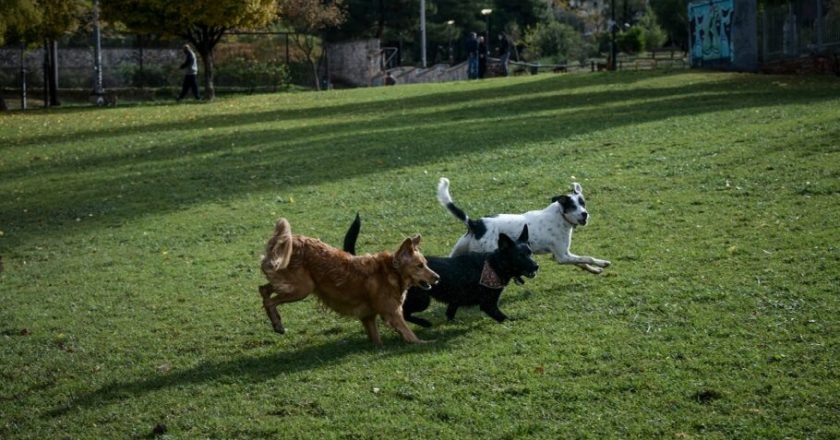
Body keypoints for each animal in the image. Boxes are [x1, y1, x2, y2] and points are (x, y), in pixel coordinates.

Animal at [260, 218, 440, 346]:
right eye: (419, 266)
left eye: (426, 263)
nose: (437, 277)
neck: (391, 272)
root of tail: (290, 240)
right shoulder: (392, 314)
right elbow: (410, 335)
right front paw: (426, 342)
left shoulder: (368, 317)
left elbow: (377, 340)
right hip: (303, 288)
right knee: (269, 301)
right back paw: (277, 324)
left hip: (292, 283)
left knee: (263, 289)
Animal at [342, 213, 540, 326]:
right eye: (520, 256)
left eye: (529, 253)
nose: (536, 266)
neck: (494, 263)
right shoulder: (488, 304)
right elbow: (502, 317)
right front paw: (516, 320)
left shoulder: (456, 299)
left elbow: (450, 312)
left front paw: (453, 322)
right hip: (422, 300)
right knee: (403, 313)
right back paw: (425, 323)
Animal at [440, 177, 612, 274]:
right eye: (572, 206)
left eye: (583, 203)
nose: (585, 214)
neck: (560, 215)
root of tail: (475, 223)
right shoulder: (562, 256)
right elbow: (587, 258)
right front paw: (602, 263)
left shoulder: (563, 254)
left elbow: (582, 262)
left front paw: (595, 270)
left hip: (458, 250)